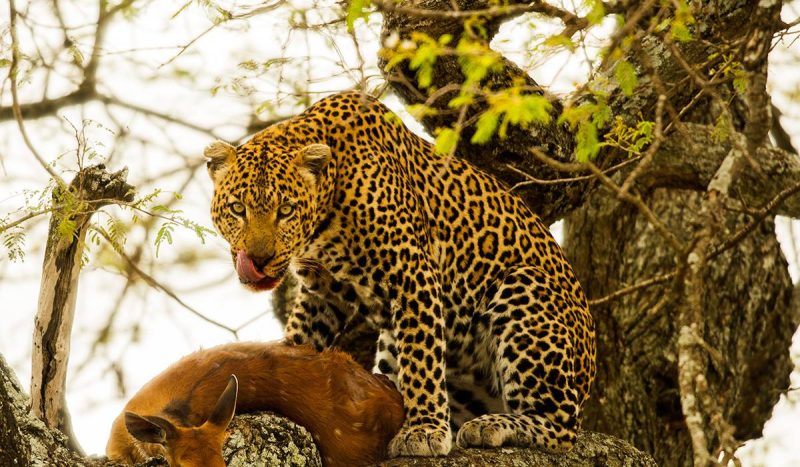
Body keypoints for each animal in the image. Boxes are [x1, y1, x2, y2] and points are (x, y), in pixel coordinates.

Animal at [204, 91, 596, 457]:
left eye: (285, 210)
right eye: (237, 209)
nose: (258, 259)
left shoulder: (411, 273)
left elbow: (421, 358)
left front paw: (423, 430)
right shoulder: (322, 289)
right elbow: (302, 339)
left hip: (524, 287)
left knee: (561, 427)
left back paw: (492, 426)